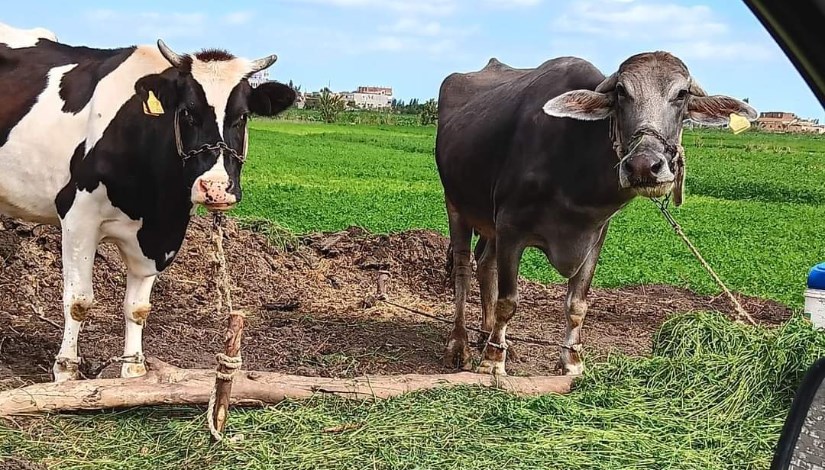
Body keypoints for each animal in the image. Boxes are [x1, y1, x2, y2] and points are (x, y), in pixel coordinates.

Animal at [0, 24, 296, 382]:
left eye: (243, 116)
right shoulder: (78, 218)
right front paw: (66, 372)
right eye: (187, 113)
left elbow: (138, 308)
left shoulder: (162, 234)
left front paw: (134, 371)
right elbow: (79, 301)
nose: (214, 188)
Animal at [434, 50, 756, 374]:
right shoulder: (510, 228)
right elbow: (508, 301)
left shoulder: (594, 235)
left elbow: (577, 304)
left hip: (488, 223)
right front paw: (492, 361)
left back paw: (489, 336)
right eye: (621, 92)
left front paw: (572, 361)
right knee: (463, 269)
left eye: (682, 94)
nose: (643, 166)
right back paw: (460, 345)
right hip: (456, 205)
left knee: (485, 264)